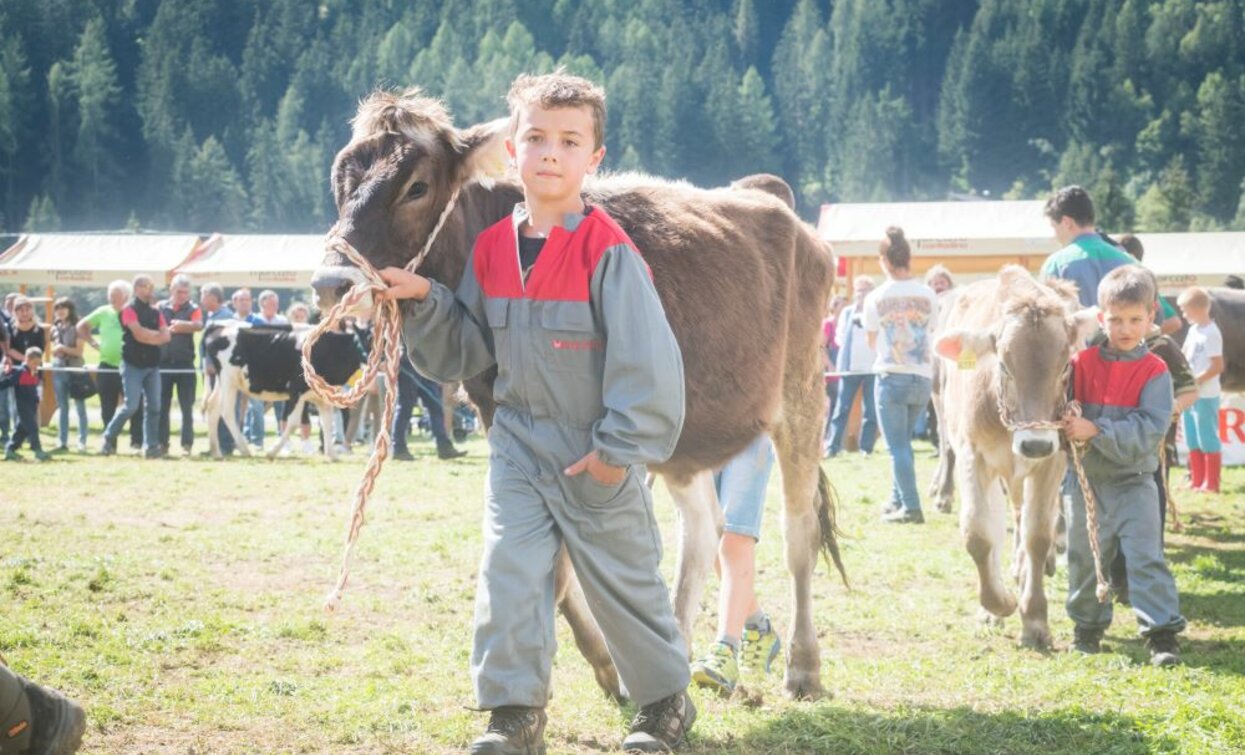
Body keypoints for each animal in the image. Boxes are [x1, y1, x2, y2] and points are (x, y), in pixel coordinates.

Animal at [199, 321, 363, 458]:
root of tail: (219, 325)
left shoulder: (322, 397)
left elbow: (327, 422)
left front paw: (332, 455)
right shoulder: (296, 391)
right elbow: (292, 423)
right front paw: (272, 452)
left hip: (223, 382)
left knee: (213, 408)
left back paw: (216, 452)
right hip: (228, 379)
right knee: (227, 411)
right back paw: (244, 449)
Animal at [308, 90, 846, 702]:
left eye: (416, 187)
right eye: (340, 181)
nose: (330, 283)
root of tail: (774, 203)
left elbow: (572, 568)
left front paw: (612, 664)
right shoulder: (501, 418)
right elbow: (557, 570)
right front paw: (612, 664)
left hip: (801, 396)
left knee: (797, 532)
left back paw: (803, 666)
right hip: (686, 435)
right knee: (704, 529)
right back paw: (679, 647)